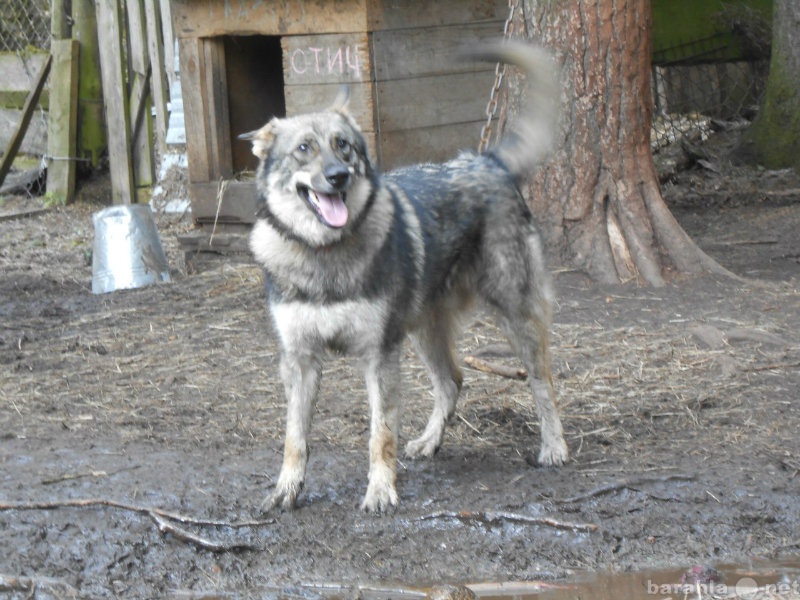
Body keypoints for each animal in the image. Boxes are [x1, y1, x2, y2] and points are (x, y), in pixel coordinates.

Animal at [242, 39, 568, 512]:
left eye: (343, 146)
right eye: (304, 149)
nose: (338, 177)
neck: (325, 256)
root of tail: (487, 160)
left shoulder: (379, 356)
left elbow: (380, 435)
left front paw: (380, 491)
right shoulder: (300, 361)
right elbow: (294, 438)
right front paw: (286, 490)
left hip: (514, 315)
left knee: (542, 380)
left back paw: (554, 447)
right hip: (424, 332)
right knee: (453, 381)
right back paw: (430, 442)